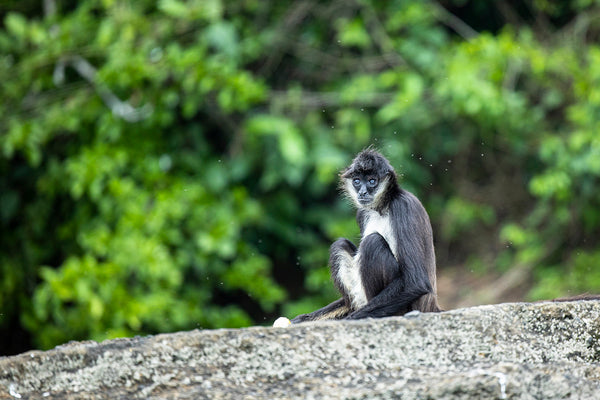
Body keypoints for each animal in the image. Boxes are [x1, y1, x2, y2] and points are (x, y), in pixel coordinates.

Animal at [292, 148, 440, 324]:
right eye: (357, 181)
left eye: (371, 181)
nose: (362, 192)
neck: (381, 207)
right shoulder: (362, 213)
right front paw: (303, 319)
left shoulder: (403, 206)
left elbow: (417, 283)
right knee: (340, 245)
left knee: (372, 242)